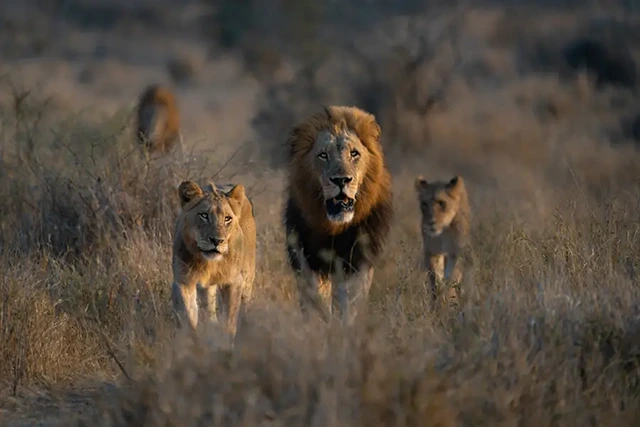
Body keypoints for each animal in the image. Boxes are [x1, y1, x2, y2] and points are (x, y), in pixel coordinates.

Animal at [171, 180, 256, 337]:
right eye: (204, 215)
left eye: (227, 219)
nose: (217, 240)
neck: (208, 264)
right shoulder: (183, 281)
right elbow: (189, 319)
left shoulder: (234, 281)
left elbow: (229, 322)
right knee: (209, 309)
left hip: (247, 276)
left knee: (245, 305)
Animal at [284, 105, 393, 324]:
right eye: (323, 155)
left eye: (354, 153)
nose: (341, 180)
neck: (333, 226)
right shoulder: (306, 258)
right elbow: (315, 297)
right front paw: (318, 324)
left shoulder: (357, 259)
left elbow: (349, 300)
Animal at [414, 175, 470, 306]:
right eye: (424, 204)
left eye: (441, 203)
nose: (430, 222)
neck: (443, 231)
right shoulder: (432, 252)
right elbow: (435, 277)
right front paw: (438, 299)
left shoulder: (456, 252)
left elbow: (452, 275)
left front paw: (450, 297)